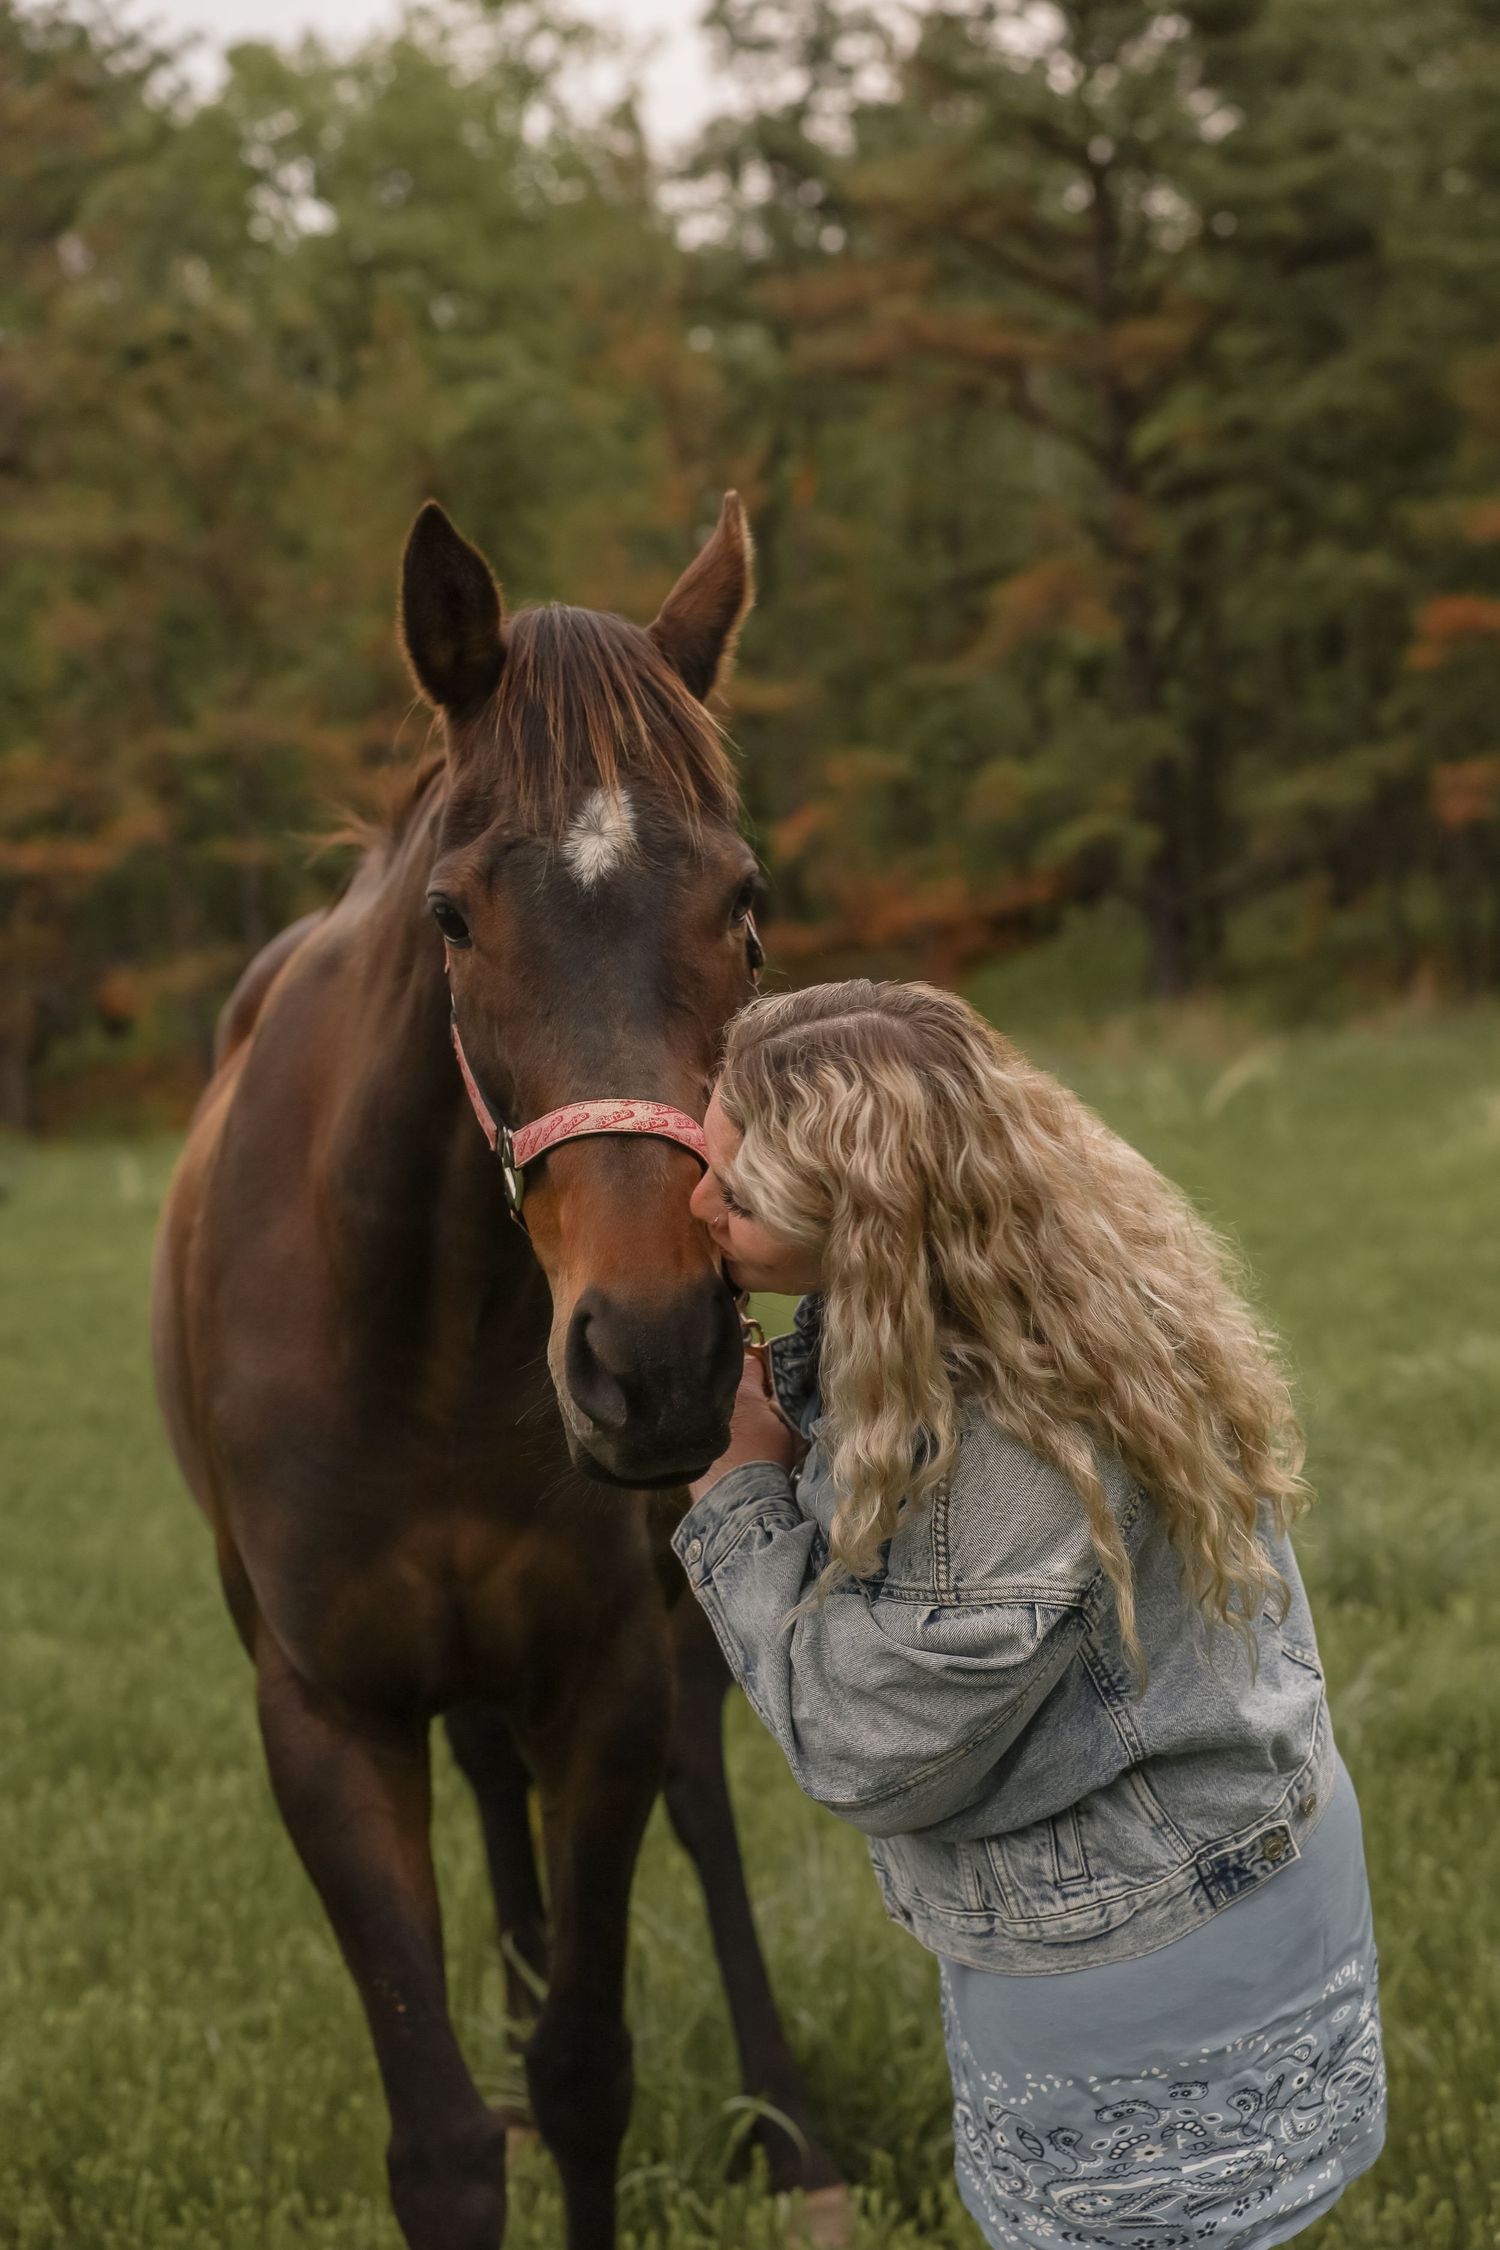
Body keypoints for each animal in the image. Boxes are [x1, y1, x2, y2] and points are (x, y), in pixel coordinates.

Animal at [150, 495, 847, 2250]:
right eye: (456, 917)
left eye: (746, 901)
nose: (653, 1356)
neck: (420, 1325)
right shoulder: (324, 1716)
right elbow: (444, 2142)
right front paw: (500, 2102)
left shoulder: (600, 1678)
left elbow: (594, 2066)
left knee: (701, 1793)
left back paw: (792, 2127)